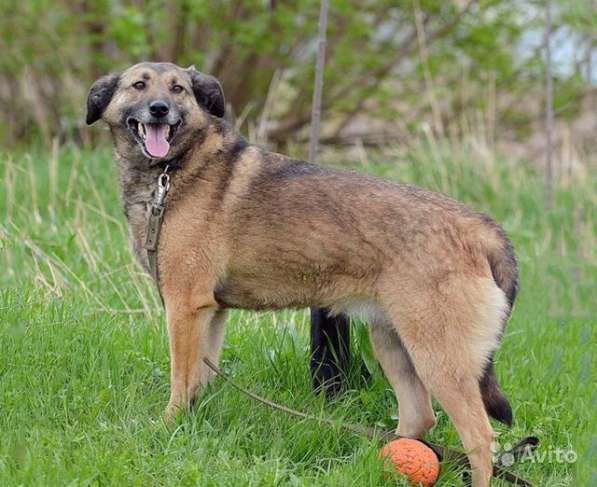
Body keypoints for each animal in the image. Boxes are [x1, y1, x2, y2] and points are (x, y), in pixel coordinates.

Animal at [85, 63, 516, 486]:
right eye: (139, 85)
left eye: (178, 89)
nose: (159, 109)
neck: (172, 171)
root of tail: (479, 228)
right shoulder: (210, 314)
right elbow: (197, 382)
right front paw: (188, 426)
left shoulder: (185, 308)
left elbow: (180, 380)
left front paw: (168, 427)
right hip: (395, 345)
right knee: (419, 419)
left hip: (439, 360)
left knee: (481, 439)